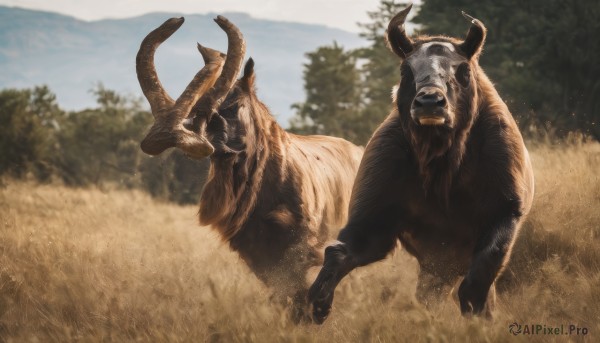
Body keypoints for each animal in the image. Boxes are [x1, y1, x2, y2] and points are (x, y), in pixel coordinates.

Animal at [310, 4, 536, 324]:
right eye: (406, 70)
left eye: (463, 70)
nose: (430, 101)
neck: (443, 164)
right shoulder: (375, 221)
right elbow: (338, 254)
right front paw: (316, 305)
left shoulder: (505, 213)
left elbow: (476, 285)